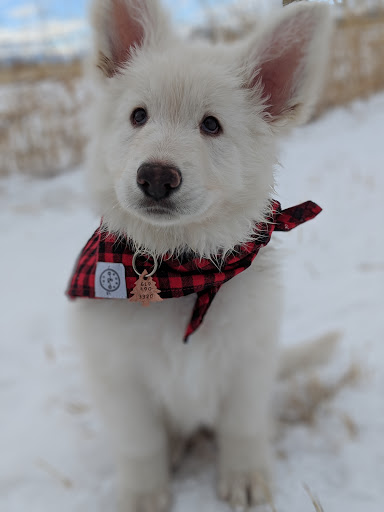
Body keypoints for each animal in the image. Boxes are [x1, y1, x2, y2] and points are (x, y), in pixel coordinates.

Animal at [70, 2, 332, 510]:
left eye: (211, 125)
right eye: (138, 116)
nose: (155, 176)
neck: (179, 272)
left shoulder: (248, 360)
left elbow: (242, 427)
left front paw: (245, 478)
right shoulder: (120, 377)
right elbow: (141, 443)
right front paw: (144, 494)